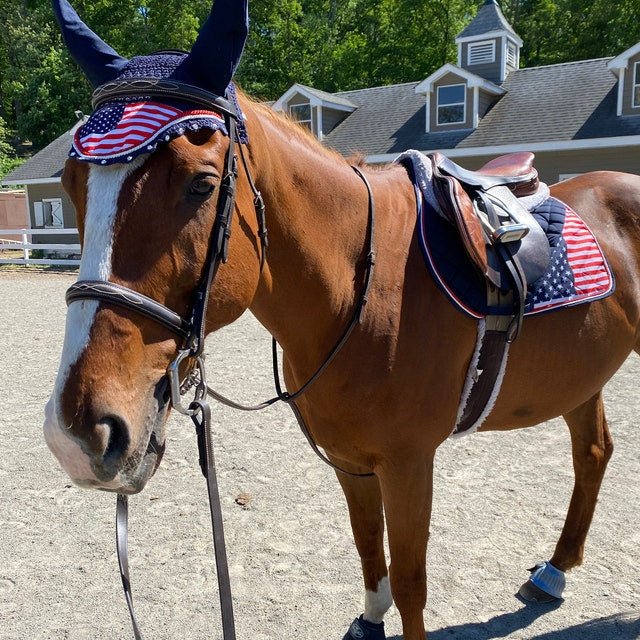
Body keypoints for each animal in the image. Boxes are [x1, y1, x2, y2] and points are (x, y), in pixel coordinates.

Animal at [45, 1, 640, 640]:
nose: (78, 433)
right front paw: (370, 617)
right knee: (593, 453)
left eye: (201, 185)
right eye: (71, 187)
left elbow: (410, 583)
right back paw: (554, 570)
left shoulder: (408, 464)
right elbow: (367, 548)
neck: (365, 290)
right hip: (580, 376)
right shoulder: (351, 462)